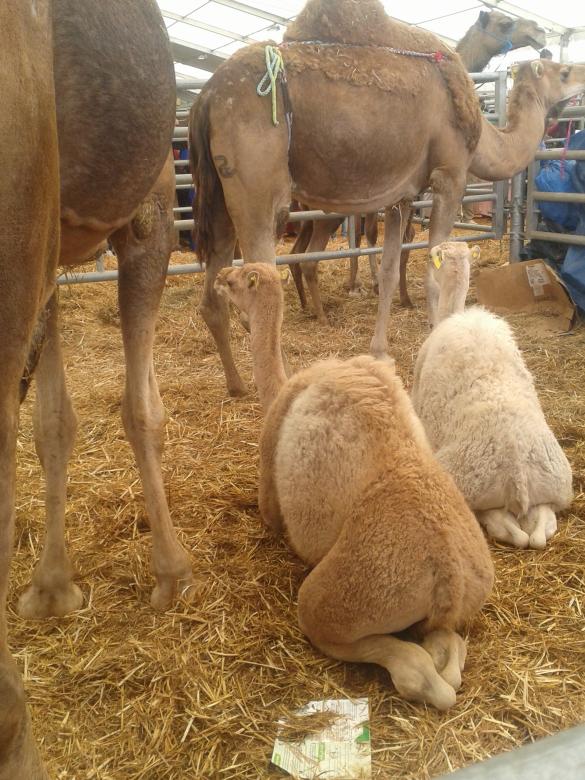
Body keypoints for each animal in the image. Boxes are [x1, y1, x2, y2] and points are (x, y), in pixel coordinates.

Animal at [214, 262, 494, 710]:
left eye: (235, 279)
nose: (217, 278)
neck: (283, 387)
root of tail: (448, 575)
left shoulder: (268, 459)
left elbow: (269, 514)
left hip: (341, 598)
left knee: (416, 671)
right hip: (462, 598)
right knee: (448, 650)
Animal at [289, 9, 546, 318]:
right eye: (505, 23)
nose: (539, 32)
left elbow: (396, 239)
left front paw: (385, 290)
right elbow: (396, 240)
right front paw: (395, 294)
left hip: (307, 213)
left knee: (297, 252)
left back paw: (306, 304)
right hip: (325, 212)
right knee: (309, 256)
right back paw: (323, 313)